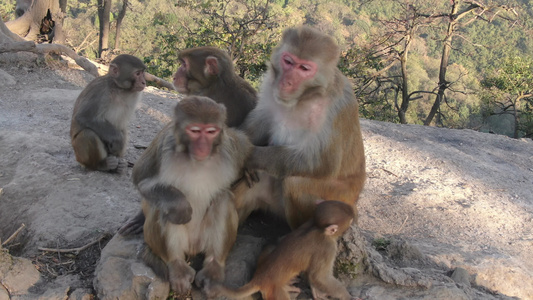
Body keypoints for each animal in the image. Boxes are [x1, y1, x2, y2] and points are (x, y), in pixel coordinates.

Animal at [206, 199, 356, 300]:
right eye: (350, 221)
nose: (354, 217)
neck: (318, 228)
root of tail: (259, 278)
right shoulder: (328, 248)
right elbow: (319, 277)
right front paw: (347, 296)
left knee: (272, 245)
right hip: (273, 291)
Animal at [237, 25, 366, 229]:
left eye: (304, 68)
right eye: (288, 62)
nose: (286, 82)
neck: (304, 98)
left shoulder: (335, 107)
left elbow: (323, 162)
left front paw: (248, 154)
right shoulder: (270, 84)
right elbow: (261, 120)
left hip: (337, 199)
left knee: (294, 182)